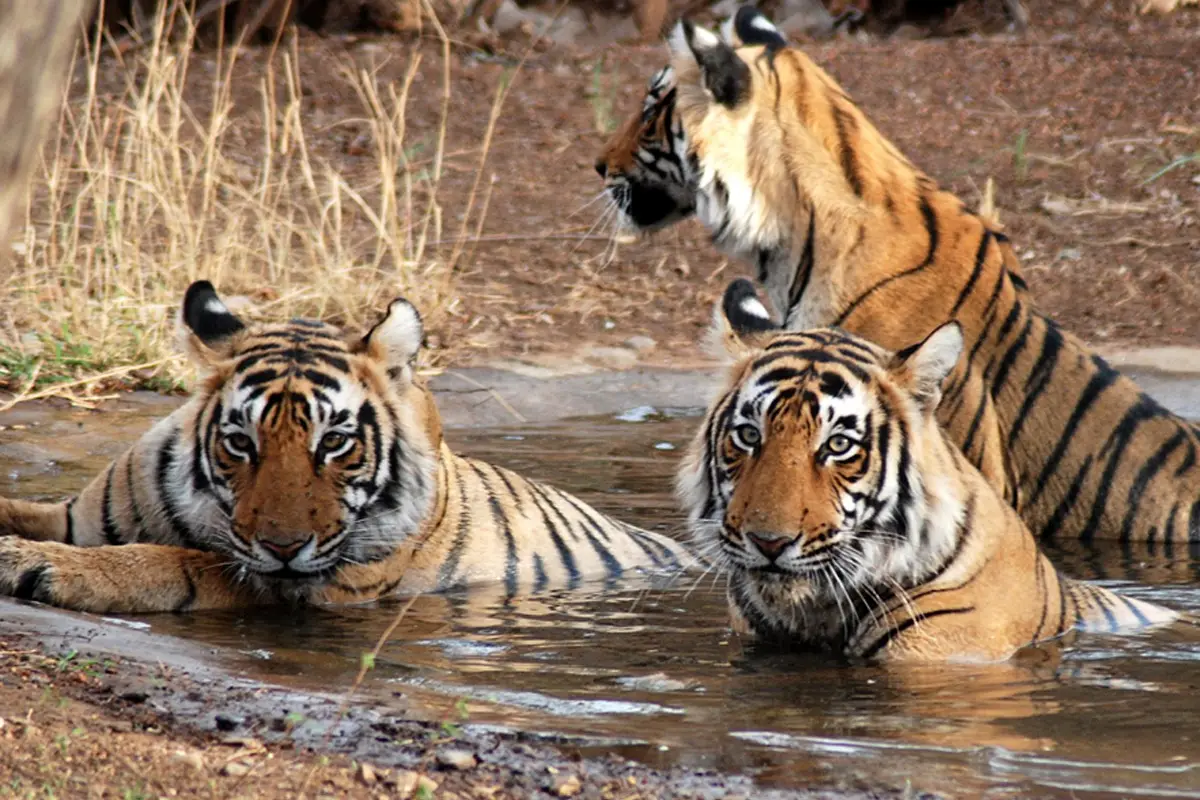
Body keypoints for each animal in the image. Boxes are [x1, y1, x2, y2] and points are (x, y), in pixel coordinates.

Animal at [0, 282, 689, 614]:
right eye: (240, 443)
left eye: (334, 442)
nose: (282, 546)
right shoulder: (75, 516)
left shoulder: (302, 585)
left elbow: (173, 563)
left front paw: (36, 565)